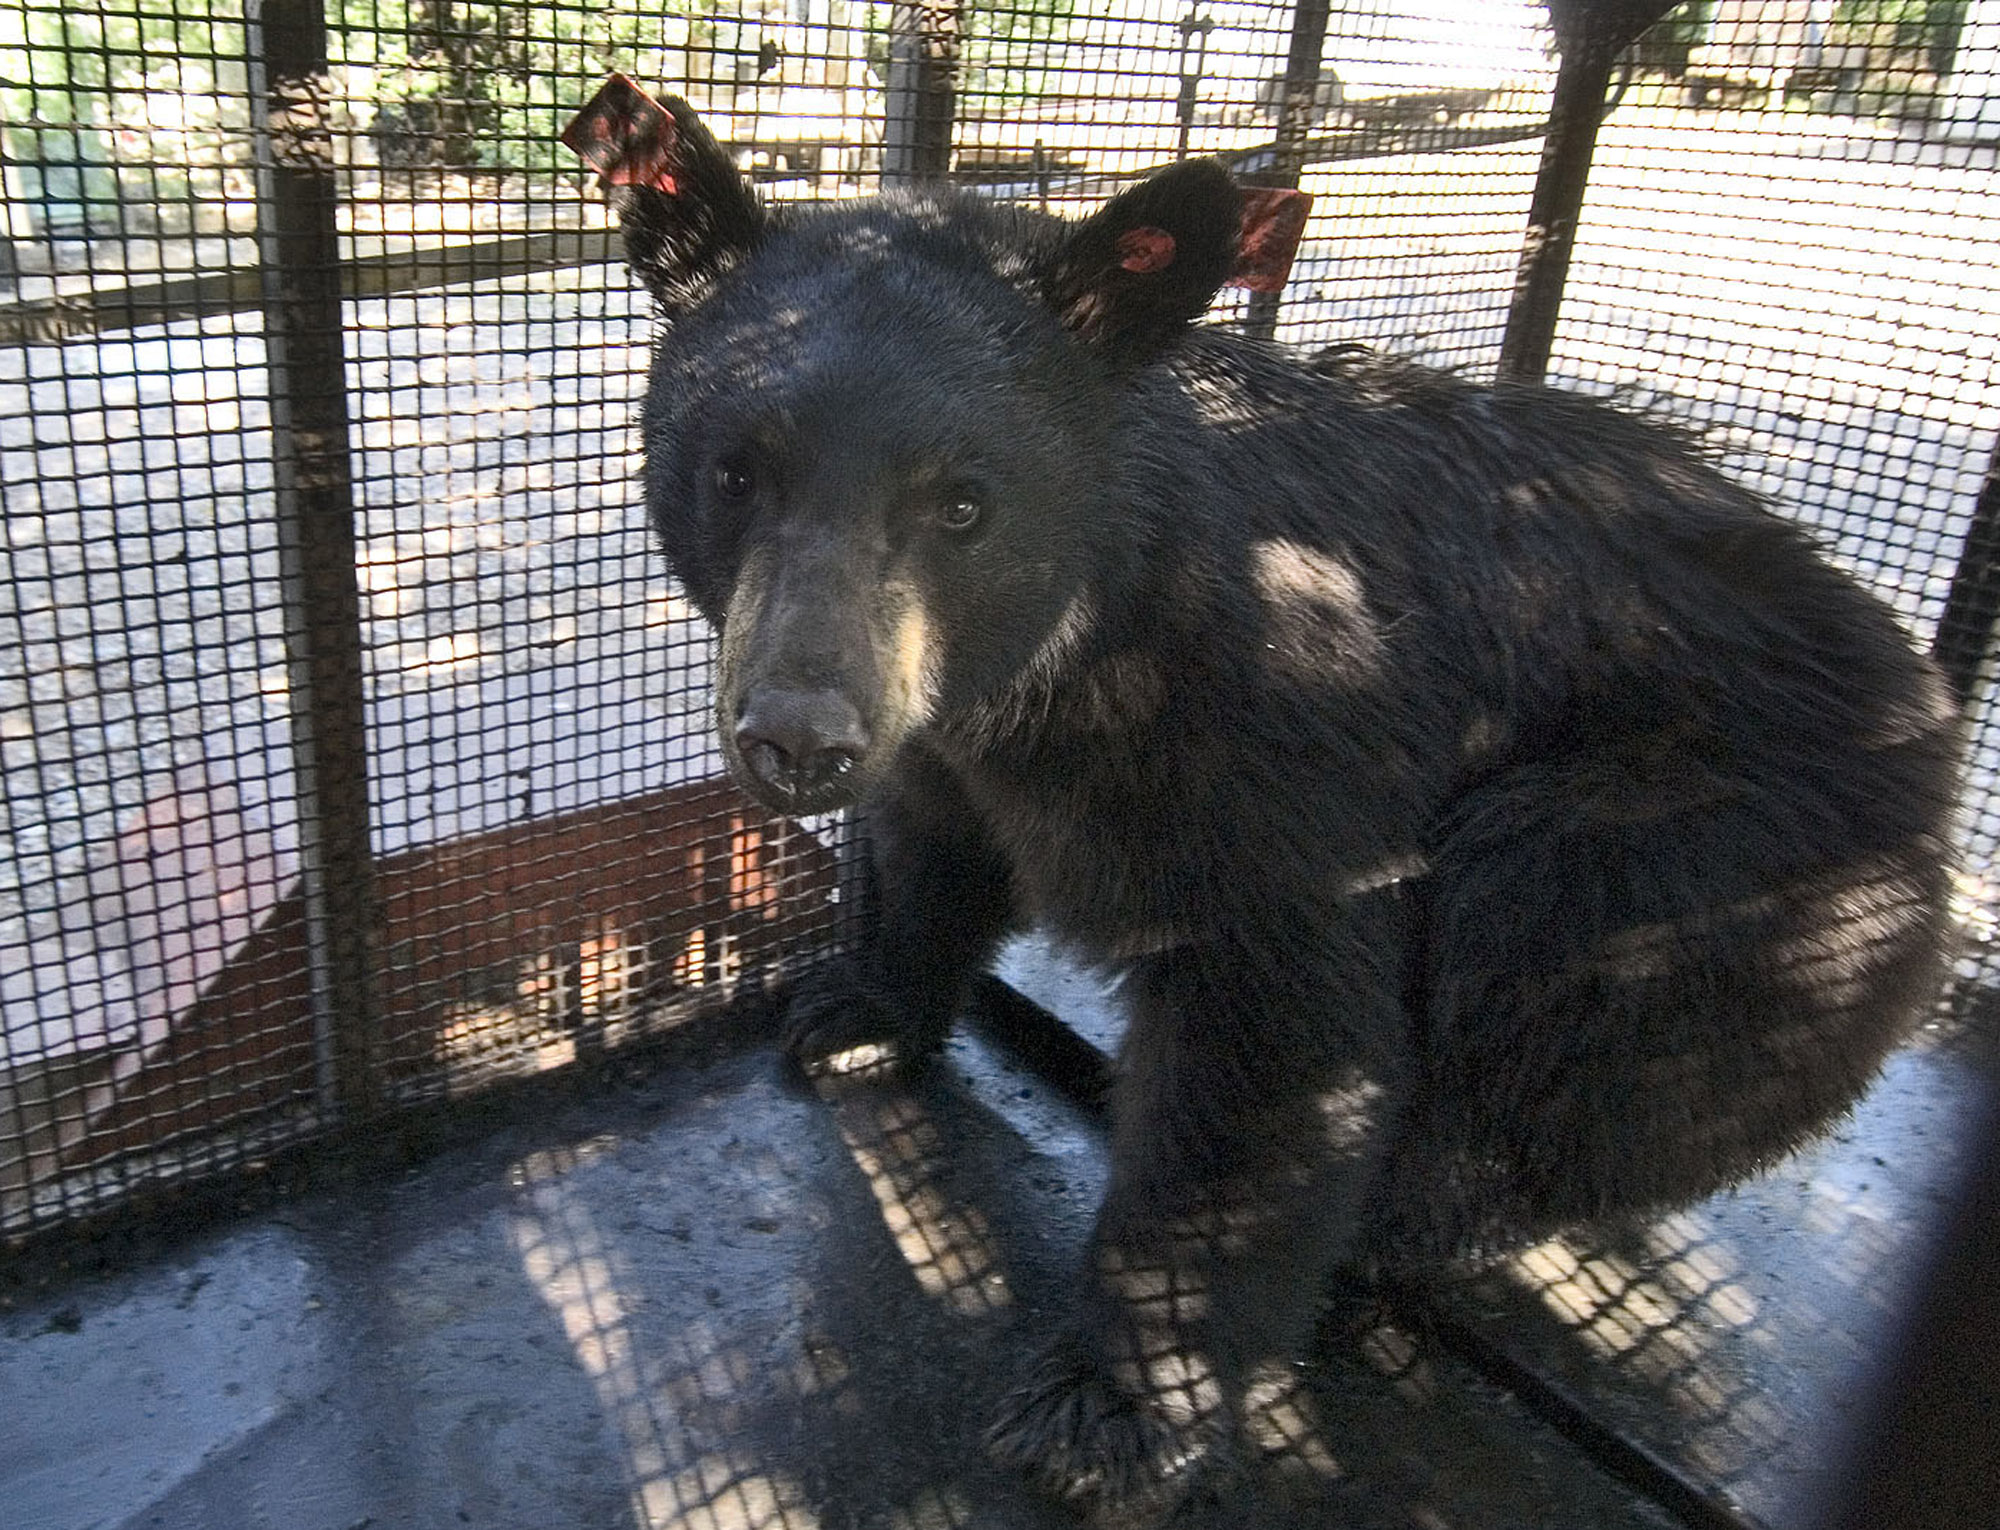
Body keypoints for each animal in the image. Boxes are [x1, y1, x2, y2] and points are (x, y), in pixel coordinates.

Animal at [573, 85, 1961, 1519]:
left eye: (963, 501)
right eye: (737, 471)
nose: (800, 739)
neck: (1070, 662)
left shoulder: (1282, 737)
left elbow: (1277, 1035)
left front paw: (1114, 1402)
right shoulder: (948, 727)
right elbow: (930, 845)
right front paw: (854, 1009)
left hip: (1735, 846)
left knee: (1554, 944)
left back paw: (1421, 1213)